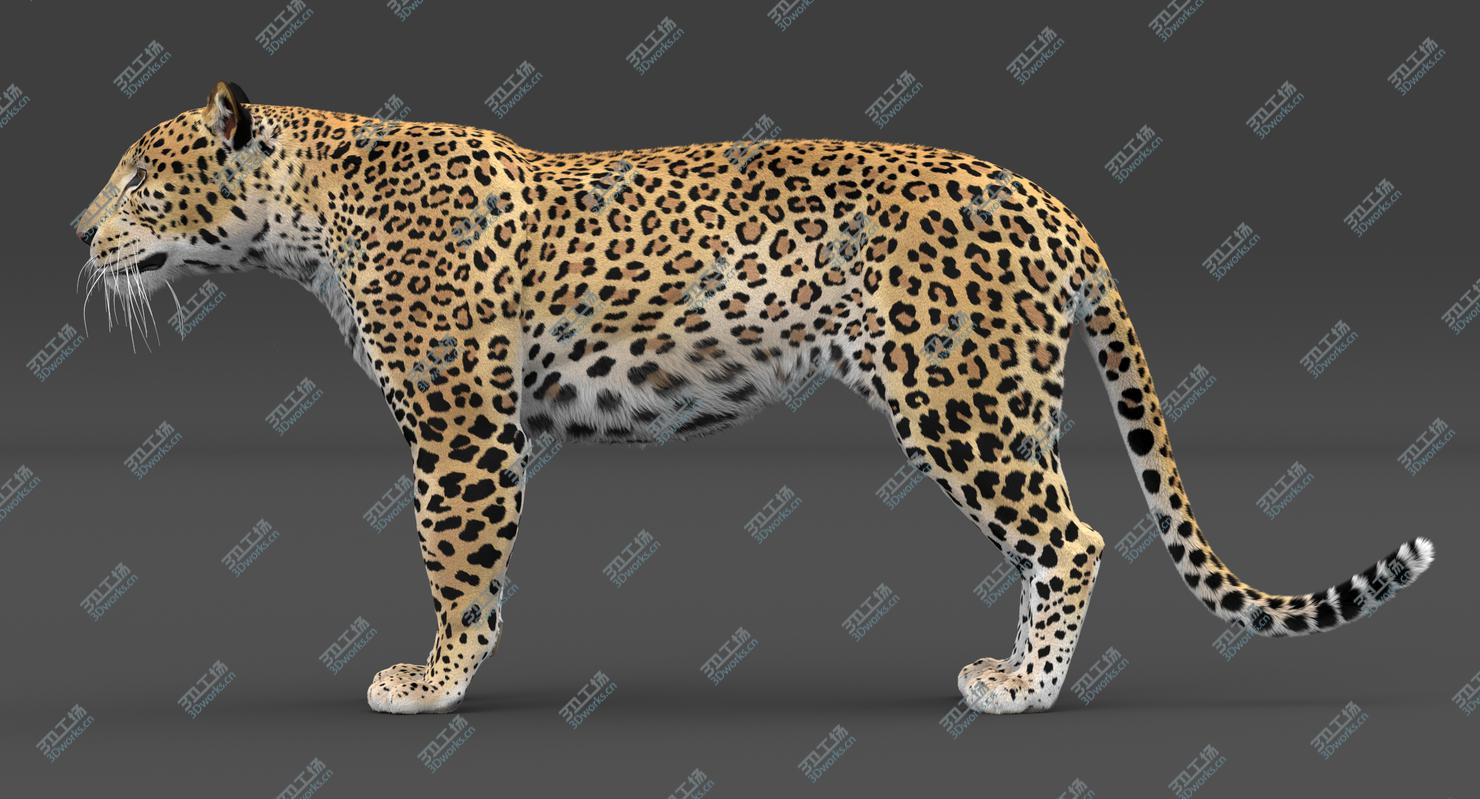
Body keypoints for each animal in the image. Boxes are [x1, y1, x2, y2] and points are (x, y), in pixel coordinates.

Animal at [76, 81, 1436, 715]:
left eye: (139, 179)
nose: (76, 233)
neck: (309, 216)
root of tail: (1051, 201)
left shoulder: (459, 428)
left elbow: (453, 562)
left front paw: (434, 680)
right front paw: (453, 672)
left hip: (959, 398)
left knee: (1075, 534)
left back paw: (1026, 688)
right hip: (1015, 398)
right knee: (1053, 533)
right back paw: (1013, 663)